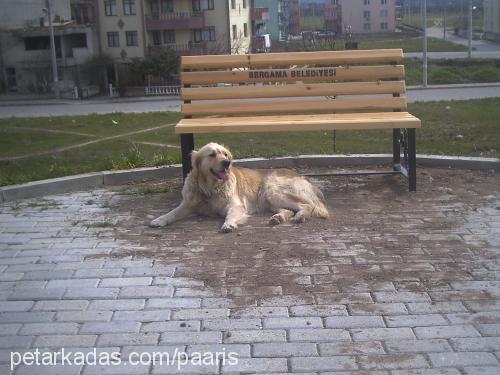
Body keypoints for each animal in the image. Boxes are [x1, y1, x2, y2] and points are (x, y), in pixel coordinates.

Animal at [149, 143, 328, 234]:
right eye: (212, 155)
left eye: (225, 154)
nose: (227, 163)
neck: (210, 188)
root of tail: (303, 177)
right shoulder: (188, 204)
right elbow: (172, 213)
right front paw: (159, 220)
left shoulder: (235, 205)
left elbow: (231, 214)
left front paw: (229, 224)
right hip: (269, 199)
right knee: (289, 210)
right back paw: (278, 218)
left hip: (272, 190)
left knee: (307, 205)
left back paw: (300, 216)